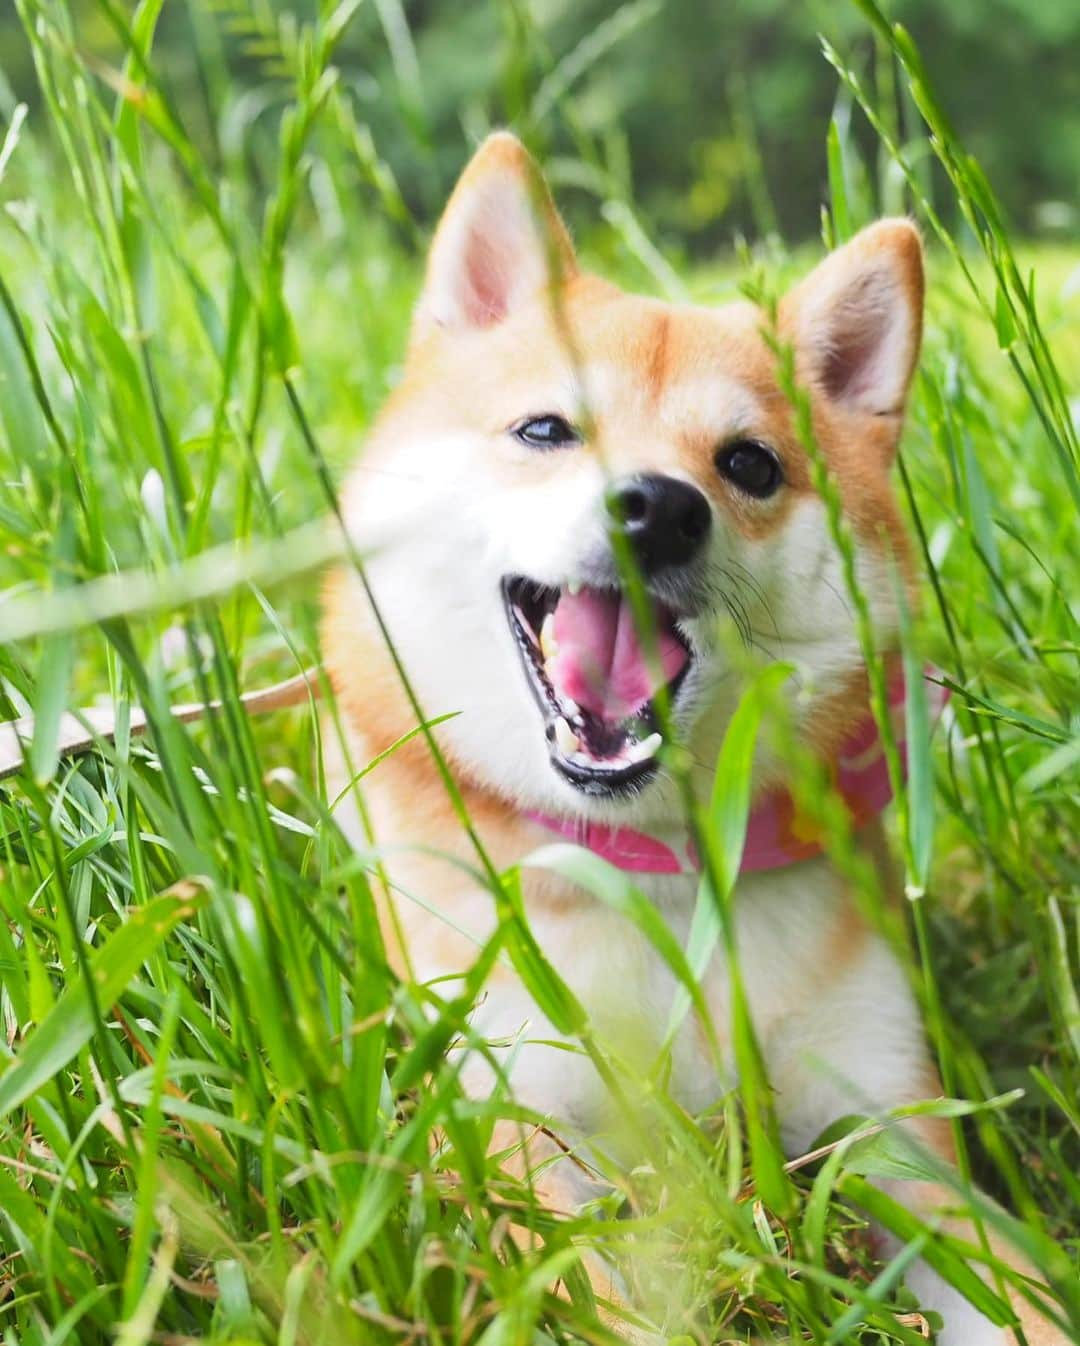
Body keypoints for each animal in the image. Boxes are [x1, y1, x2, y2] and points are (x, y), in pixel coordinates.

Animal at [317, 131, 1061, 1340]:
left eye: (750, 463)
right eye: (544, 429)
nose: (657, 507)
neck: (659, 872)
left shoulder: (892, 1135)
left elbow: (1019, 1291)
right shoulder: (519, 1131)